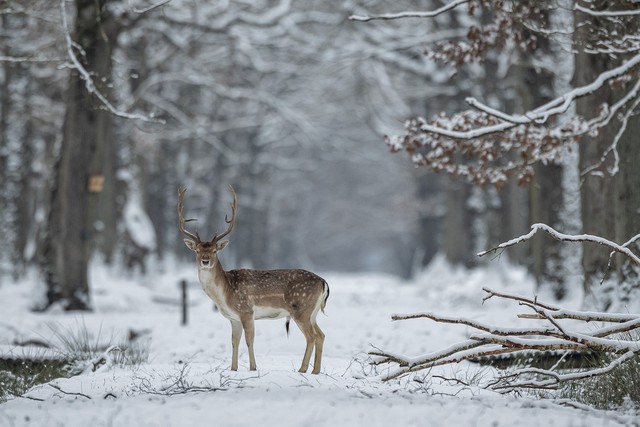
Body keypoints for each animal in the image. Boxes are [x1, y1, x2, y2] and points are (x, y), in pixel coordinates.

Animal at [180, 187, 330, 374]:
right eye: (197, 251)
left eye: (215, 251)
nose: (205, 261)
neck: (225, 293)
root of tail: (324, 282)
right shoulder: (233, 318)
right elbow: (234, 342)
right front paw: (233, 368)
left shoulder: (246, 311)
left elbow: (249, 340)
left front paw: (253, 367)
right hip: (313, 312)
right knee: (321, 335)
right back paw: (315, 370)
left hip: (301, 309)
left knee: (311, 336)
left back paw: (302, 369)